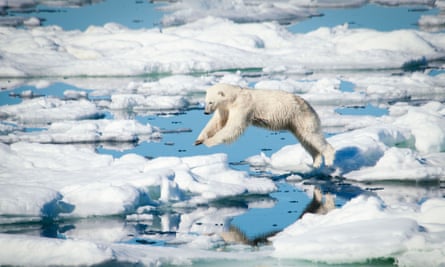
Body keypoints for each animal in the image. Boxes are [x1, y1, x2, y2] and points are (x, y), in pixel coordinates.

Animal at [193, 84, 332, 168]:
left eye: (211, 102)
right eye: (205, 101)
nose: (205, 112)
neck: (235, 96)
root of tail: (309, 105)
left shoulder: (243, 107)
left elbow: (233, 127)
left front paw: (208, 142)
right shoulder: (225, 108)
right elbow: (217, 122)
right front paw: (198, 140)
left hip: (301, 116)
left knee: (313, 136)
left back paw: (328, 160)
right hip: (295, 123)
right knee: (305, 139)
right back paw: (316, 162)